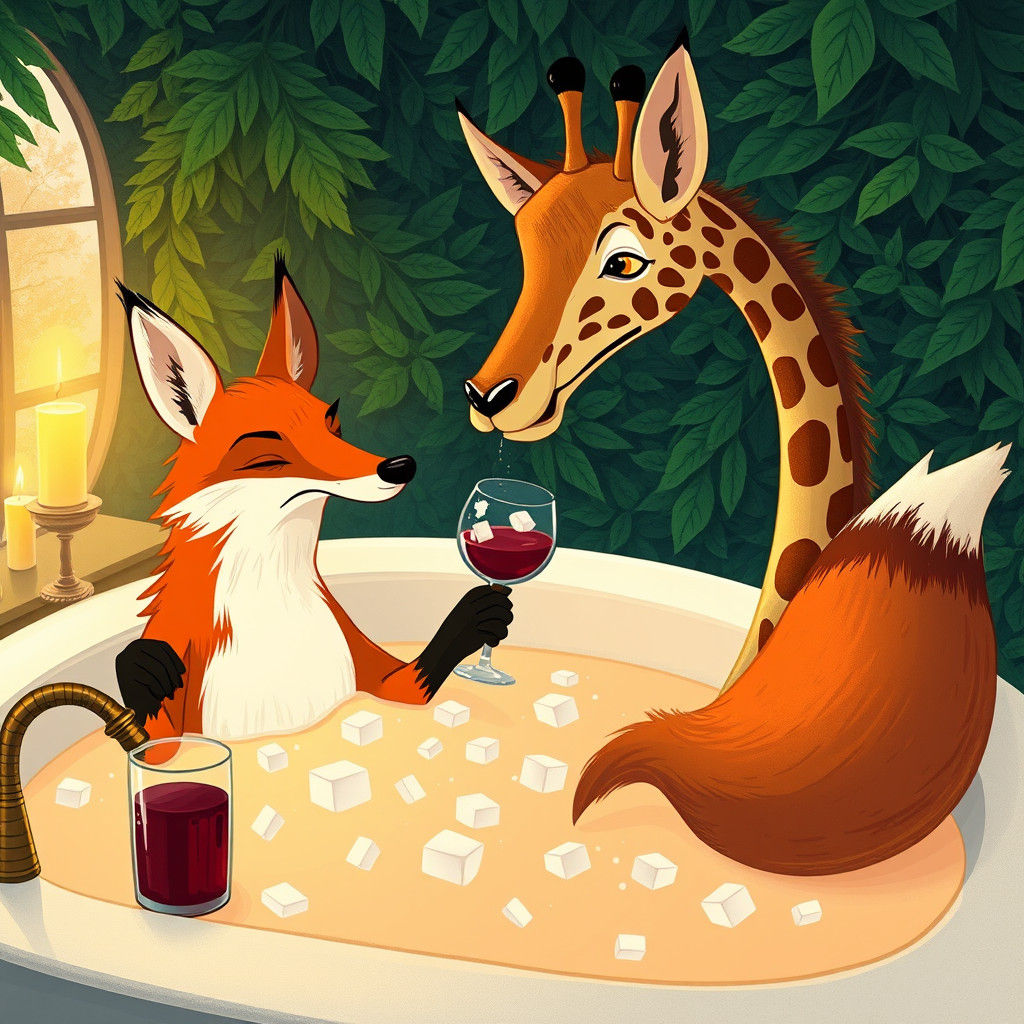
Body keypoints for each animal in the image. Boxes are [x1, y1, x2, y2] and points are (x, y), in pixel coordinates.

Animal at [114, 258, 512, 741]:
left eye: (333, 427)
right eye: (268, 459)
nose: (399, 467)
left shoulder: (376, 673)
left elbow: (417, 674)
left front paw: (480, 614)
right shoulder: (179, 701)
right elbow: (150, 738)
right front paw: (139, 670)